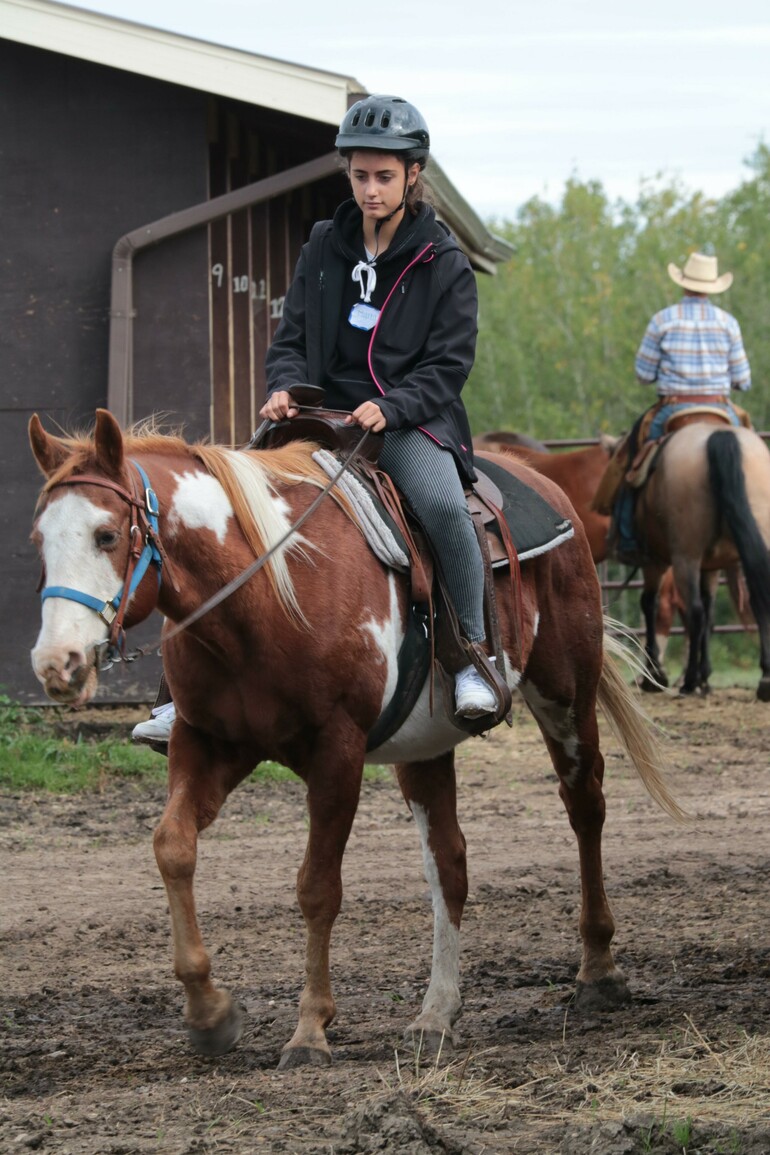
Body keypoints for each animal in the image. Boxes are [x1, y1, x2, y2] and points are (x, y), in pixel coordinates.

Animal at [28, 411, 678, 1067]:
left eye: (106, 535)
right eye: (39, 540)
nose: (56, 663)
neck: (268, 592)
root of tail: (546, 487)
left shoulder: (336, 752)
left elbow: (318, 887)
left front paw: (310, 1029)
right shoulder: (206, 742)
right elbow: (173, 846)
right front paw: (210, 1012)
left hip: (566, 695)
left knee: (585, 808)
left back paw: (598, 972)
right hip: (426, 747)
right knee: (449, 864)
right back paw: (436, 1015)